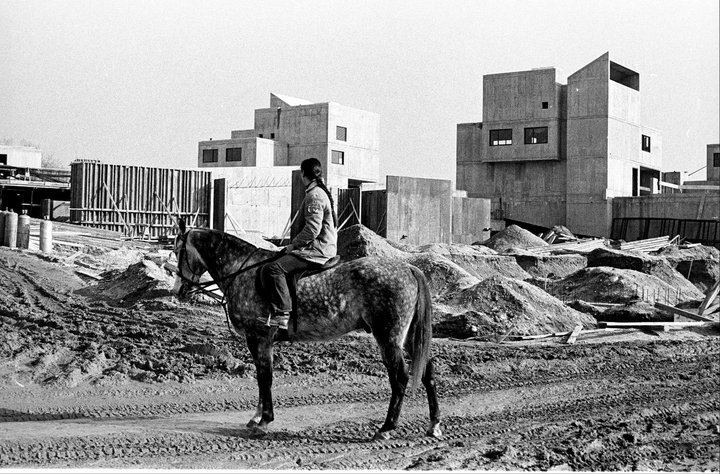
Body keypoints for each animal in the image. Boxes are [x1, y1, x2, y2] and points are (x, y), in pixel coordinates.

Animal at [174, 222, 442, 440]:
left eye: (178, 252)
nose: (178, 290)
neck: (244, 271)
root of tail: (408, 268)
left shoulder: (259, 338)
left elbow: (265, 377)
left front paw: (264, 421)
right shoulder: (261, 341)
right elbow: (261, 377)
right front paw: (257, 417)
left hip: (389, 337)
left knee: (400, 377)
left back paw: (387, 427)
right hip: (408, 337)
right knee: (427, 372)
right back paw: (434, 424)